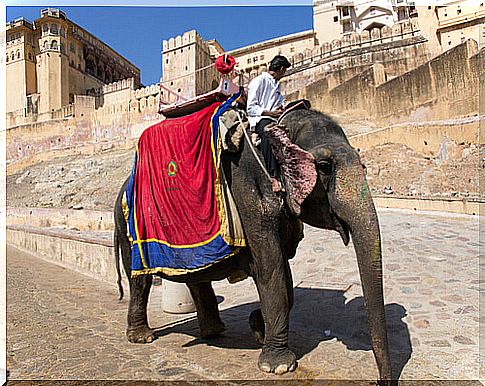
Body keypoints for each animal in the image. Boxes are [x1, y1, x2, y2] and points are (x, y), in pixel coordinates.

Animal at [114, 106, 394, 382]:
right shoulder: (248, 195)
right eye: (324, 166)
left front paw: (258, 329)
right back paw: (143, 337)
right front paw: (277, 366)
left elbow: (283, 273)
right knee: (140, 281)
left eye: (363, 165)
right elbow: (271, 267)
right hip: (128, 229)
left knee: (196, 278)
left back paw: (214, 331)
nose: (380, 379)